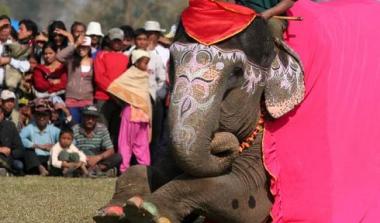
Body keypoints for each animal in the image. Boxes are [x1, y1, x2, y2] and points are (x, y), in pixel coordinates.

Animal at [93, 0, 304, 222]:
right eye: (171, 65)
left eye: (236, 73)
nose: (221, 143)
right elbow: (148, 169)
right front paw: (111, 212)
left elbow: (244, 194)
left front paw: (144, 211)